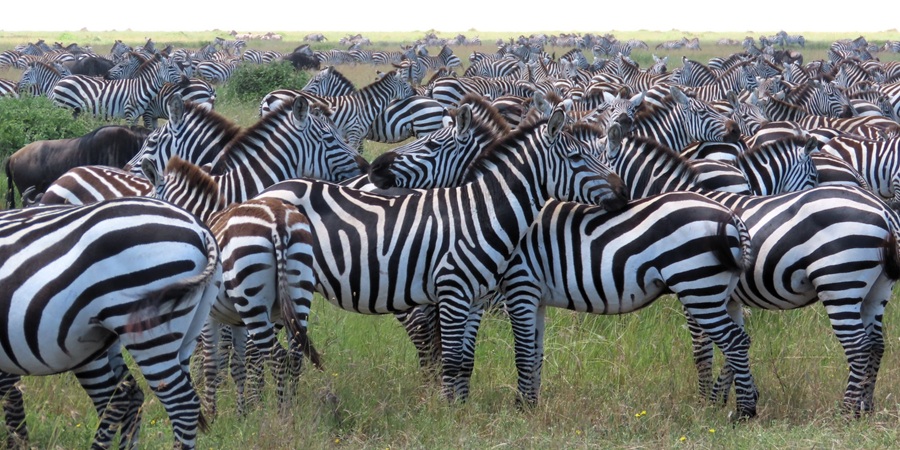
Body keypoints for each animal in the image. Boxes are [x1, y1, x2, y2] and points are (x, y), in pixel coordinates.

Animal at [0, 196, 222, 449]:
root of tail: (200, 228)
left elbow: (12, 403)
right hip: (183, 332)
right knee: (126, 396)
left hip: (148, 332)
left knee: (181, 405)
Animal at [51, 52, 182, 125]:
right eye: (171, 67)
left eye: (177, 66)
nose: (185, 79)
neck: (140, 87)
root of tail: (61, 81)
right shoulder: (130, 114)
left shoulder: (137, 116)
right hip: (64, 107)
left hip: (74, 111)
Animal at [253, 108, 629, 401]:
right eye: (577, 158)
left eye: (433, 144)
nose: (624, 191)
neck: (480, 212)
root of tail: (269, 191)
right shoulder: (455, 291)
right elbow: (451, 360)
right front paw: (446, 414)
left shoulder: (476, 299)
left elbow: (465, 360)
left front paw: (460, 408)